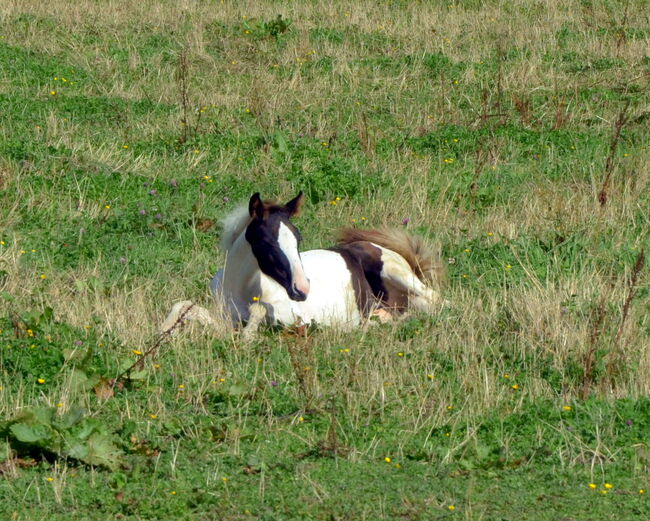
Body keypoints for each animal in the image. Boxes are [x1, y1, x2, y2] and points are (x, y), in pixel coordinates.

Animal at [162, 192, 446, 338]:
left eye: (298, 239)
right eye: (266, 241)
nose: (302, 288)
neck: (239, 289)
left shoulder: (295, 317)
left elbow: (259, 311)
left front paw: (248, 337)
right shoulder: (224, 316)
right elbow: (185, 305)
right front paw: (166, 330)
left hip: (399, 276)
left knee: (437, 302)